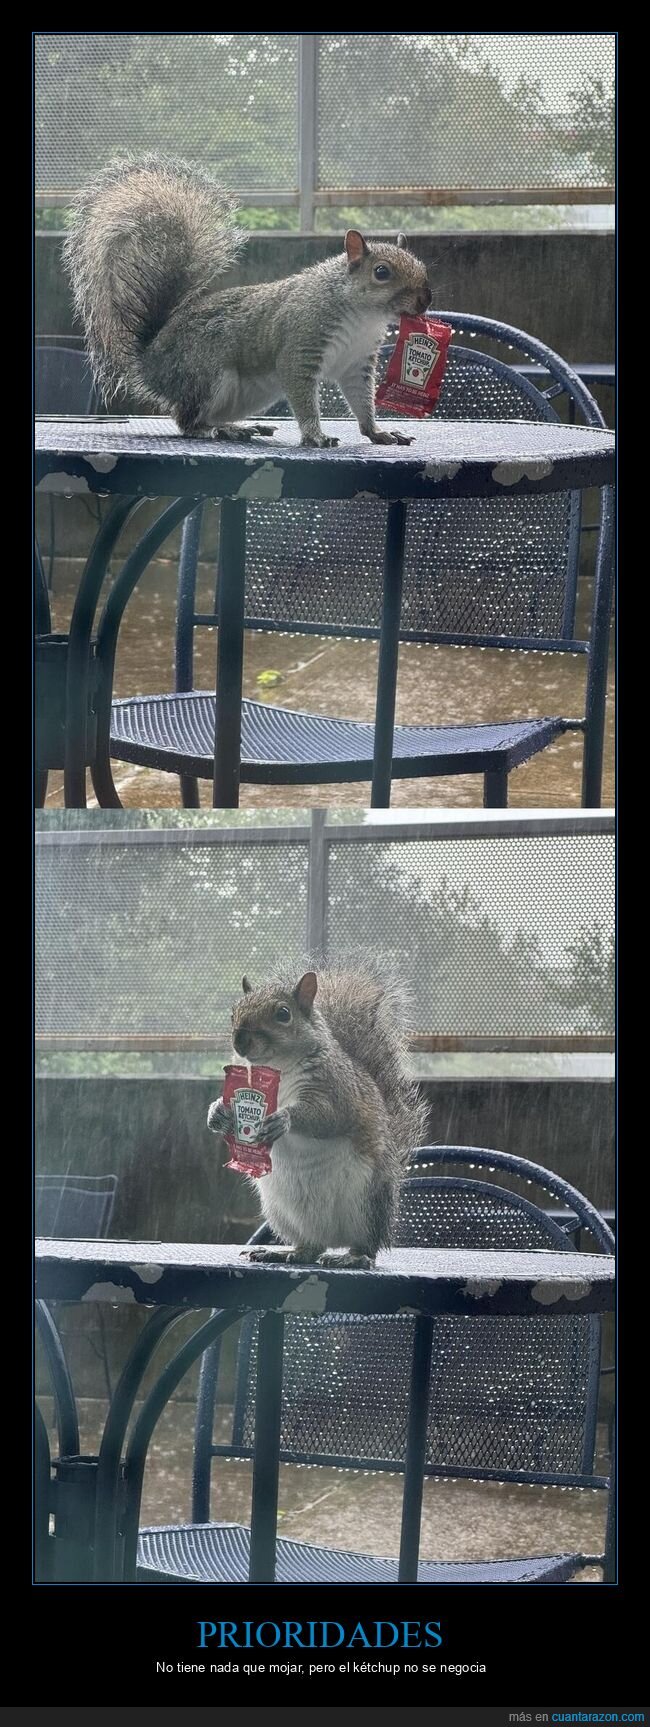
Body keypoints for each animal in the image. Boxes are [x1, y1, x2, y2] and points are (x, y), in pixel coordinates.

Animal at [64, 153, 432, 449]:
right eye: (381, 272)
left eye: (423, 266)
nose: (425, 301)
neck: (362, 316)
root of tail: (151, 360)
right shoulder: (301, 344)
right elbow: (304, 398)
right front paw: (315, 436)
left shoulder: (358, 363)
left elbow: (362, 401)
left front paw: (378, 433)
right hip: (208, 375)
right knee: (189, 421)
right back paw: (221, 431)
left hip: (251, 393)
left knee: (206, 416)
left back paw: (240, 426)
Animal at [207, 961, 428, 1268]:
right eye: (233, 1013)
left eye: (283, 1014)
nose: (240, 1040)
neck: (277, 1067)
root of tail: (333, 1239)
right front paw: (218, 1112)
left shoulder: (337, 1090)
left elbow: (327, 1117)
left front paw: (284, 1119)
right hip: (283, 1215)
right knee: (311, 1248)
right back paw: (284, 1252)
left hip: (368, 1205)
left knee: (367, 1245)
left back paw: (353, 1258)